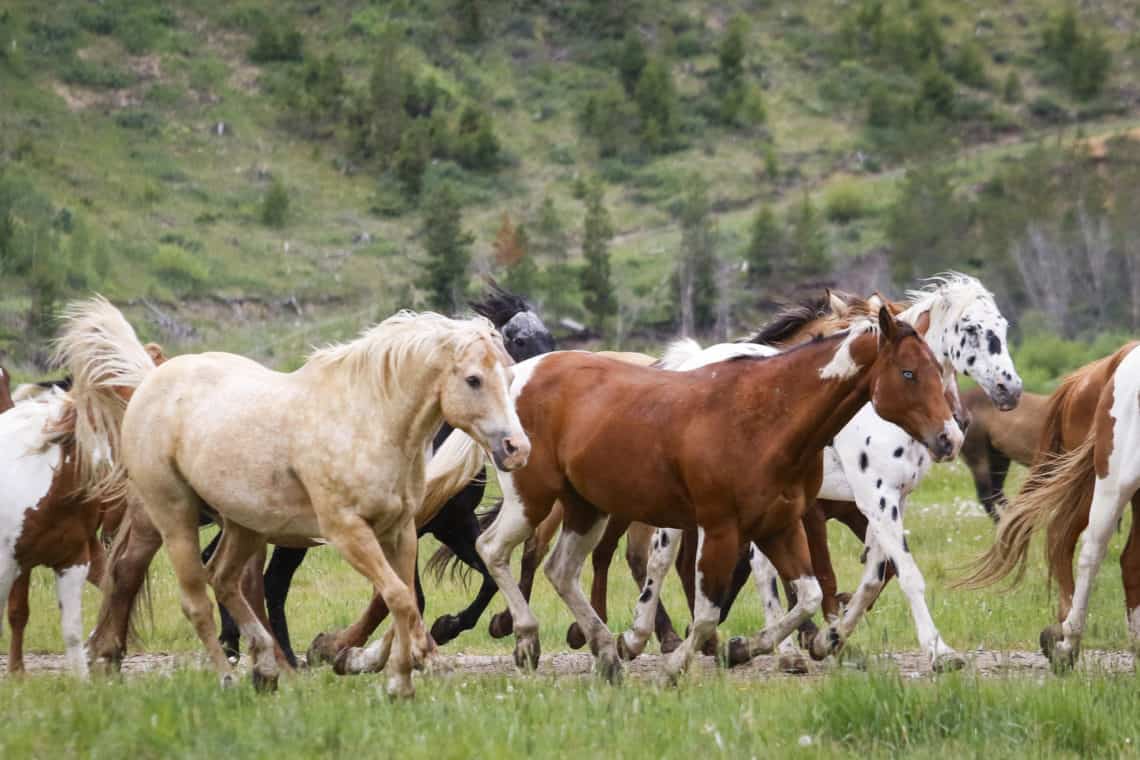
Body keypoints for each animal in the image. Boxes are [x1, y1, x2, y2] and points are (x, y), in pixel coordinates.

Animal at [101, 307, 524, 697]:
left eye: (510, 375)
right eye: (473, 379)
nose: (516, 448)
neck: (369, 422)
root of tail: (150, 381)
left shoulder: (402, 531)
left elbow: (403, 599)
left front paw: (397, 675)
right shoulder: (348, 532)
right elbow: (401, 598)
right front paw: (397, 673)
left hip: (245, 525)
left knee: (223, 578)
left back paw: (266, 668)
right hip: (173, 517)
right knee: (193, 599)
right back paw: (223, 677)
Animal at [208, 283, 556, 665]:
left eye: (550, 337)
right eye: (519, 340)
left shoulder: (453, 524)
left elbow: (487, 579)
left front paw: (447, 627)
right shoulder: (405, 527)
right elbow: (407, 595)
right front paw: (341, 647)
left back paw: (241, 644)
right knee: (263, 578)